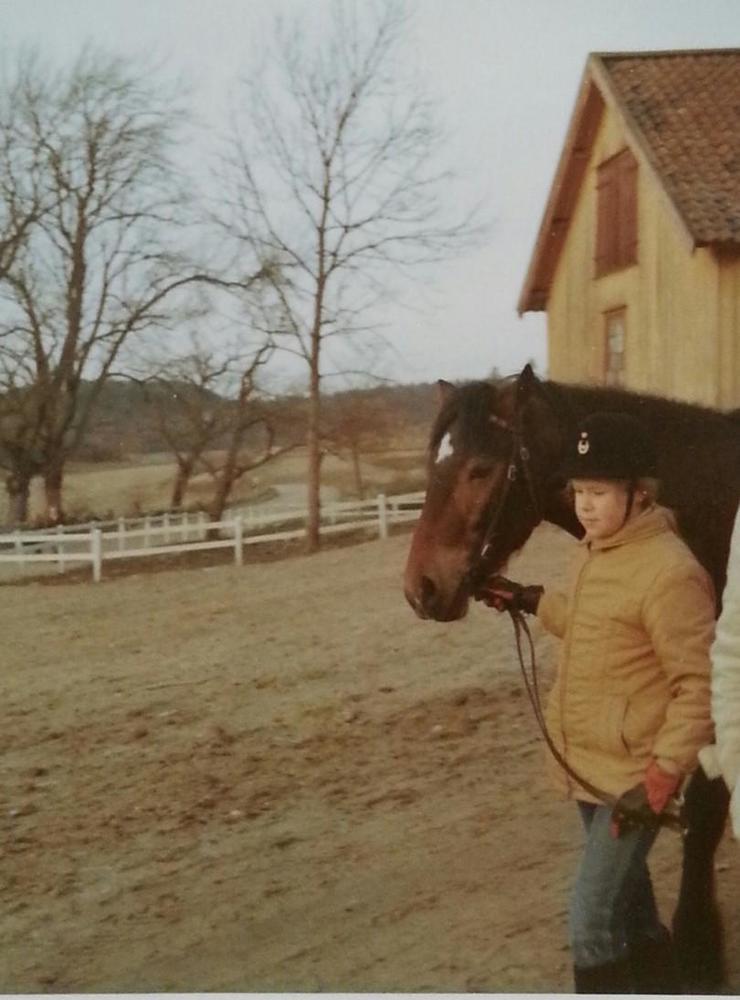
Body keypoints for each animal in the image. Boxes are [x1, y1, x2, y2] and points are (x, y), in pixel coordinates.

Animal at [404, 364, 740, 988]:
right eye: (431, 466)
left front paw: (697, 953)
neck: (714, 509)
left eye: (480, 469)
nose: (421, 588)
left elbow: (702, 815)